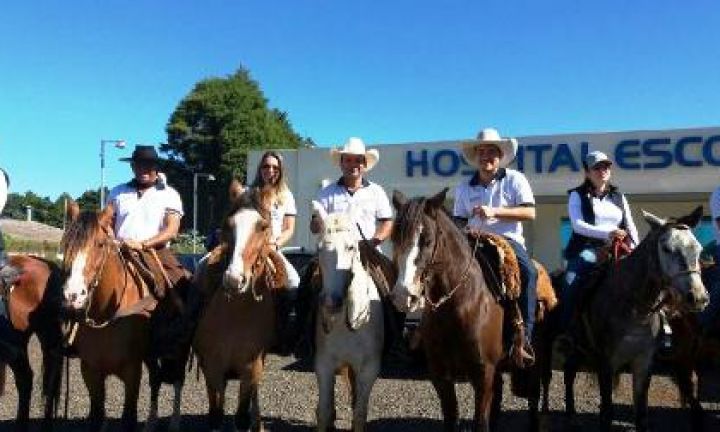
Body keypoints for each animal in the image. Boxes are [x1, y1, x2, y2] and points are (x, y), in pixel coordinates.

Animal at [194, 184, 290, 432]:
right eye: (228, 225)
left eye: (263, 227)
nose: (234, 279)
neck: (236, 316)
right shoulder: (213, 368)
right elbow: (215, 416)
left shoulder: (251, 369)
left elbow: (241, 418)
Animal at [312, 202, 386, 432]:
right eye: (319, 249)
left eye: (351, 247)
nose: (331, 302)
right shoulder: (324, 364)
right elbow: (324, 412)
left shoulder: (369, 369)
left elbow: (359, 414)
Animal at [564, 206, 708, 432]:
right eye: (666, 248)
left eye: (698, 249)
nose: (698, 298)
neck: (636, 310)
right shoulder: (606, 363)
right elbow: (607, 412)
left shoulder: (644, 362)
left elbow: (641, 414)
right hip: (576, 346)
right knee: (568, 372)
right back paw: (570, 415)